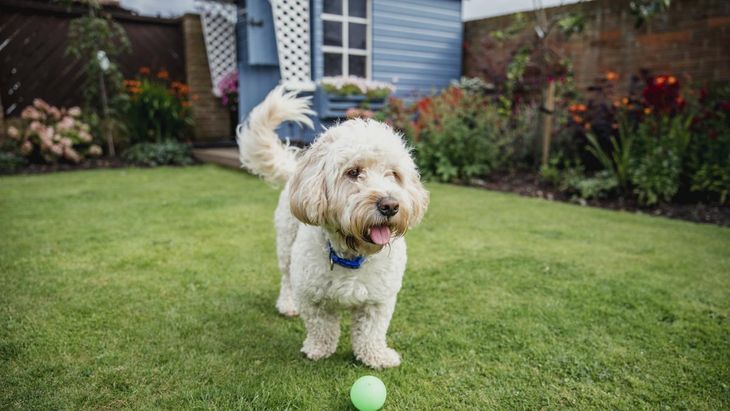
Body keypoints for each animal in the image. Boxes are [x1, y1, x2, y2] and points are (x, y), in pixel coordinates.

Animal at [236, 87, 426, 370]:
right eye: (353, 172)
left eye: (393, 174)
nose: (390, 205)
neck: (353, 255)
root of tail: (296, 169)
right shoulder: (312, 296)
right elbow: (321, 327)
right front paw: (318, 350)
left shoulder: (379, 300)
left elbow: (371, 332)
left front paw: (376, 356)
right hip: (286, 247)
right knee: (286, 278)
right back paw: (287, 304)